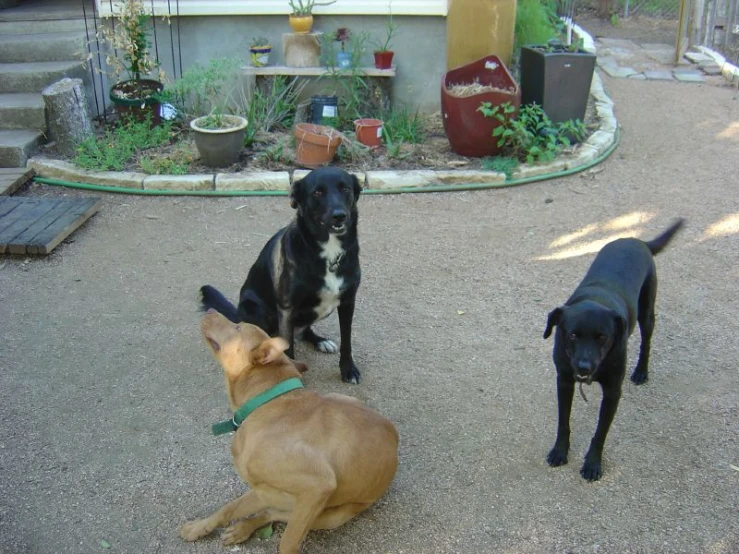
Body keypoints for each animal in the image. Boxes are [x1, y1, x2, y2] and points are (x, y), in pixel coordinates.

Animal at [181, 308, 398, 548]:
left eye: (238, 327)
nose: (210, 310)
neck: (266, 401)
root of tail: (395, 438)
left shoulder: (317, 487)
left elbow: (287, 542)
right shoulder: (262, 488)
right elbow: (228, 508)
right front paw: (199, 527)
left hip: (331, 516)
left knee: (277, 514)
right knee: (271, 512)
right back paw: (241, 529)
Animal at [202, 166, 364, 382]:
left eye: (345, 188)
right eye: (317, 192)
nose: (339, 216)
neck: (329, 251)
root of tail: (236, 314)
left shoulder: (347, 302)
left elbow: (347, 341)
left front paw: (348, 369)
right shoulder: (287, 308)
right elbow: (289, 349)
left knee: (304, 331)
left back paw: (320, 341)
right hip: (255, 309)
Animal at [540, 217, 684, 478]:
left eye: (602, 337)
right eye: (573, 335)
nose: (584, 367)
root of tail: (635, 240)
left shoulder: (613, 392)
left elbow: (600, 433)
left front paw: (592, 463)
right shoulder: (564, 381)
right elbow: (563, 422)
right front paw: (560, 451)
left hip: (647, 312)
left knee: (646, 342)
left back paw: (641, 372)